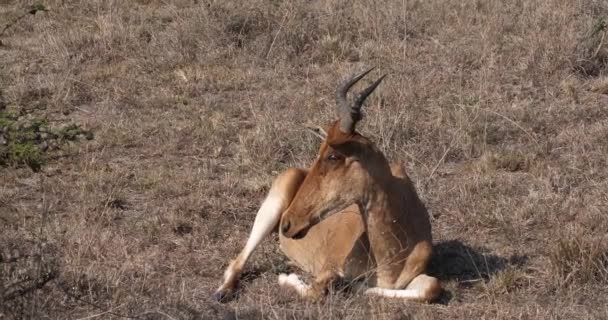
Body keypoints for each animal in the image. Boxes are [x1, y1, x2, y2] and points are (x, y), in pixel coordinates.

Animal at [215, 67, 442, 302]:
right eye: (322, 150)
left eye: (332, 156)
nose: (287, 223)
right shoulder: (329, 267)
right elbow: (316, 289)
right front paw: (287, 277)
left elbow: (431, 287)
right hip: (270, 211)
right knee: (238, 259)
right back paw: (223, 290)